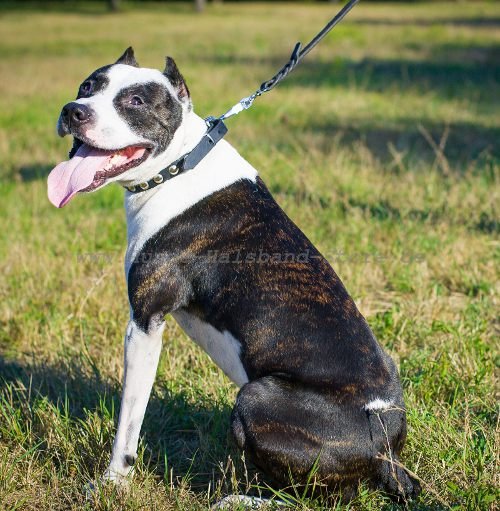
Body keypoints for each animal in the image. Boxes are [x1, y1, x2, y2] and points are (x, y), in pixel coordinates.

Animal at [48, 48, 420, 504]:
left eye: (135, 101)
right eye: (87, 86)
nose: (74, 110)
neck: (178, 165)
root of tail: (386, 449)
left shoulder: (145, 323)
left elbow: (128, 423)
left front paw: (112, 483)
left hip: (256, 397)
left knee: (314, 497)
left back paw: (243, 500)